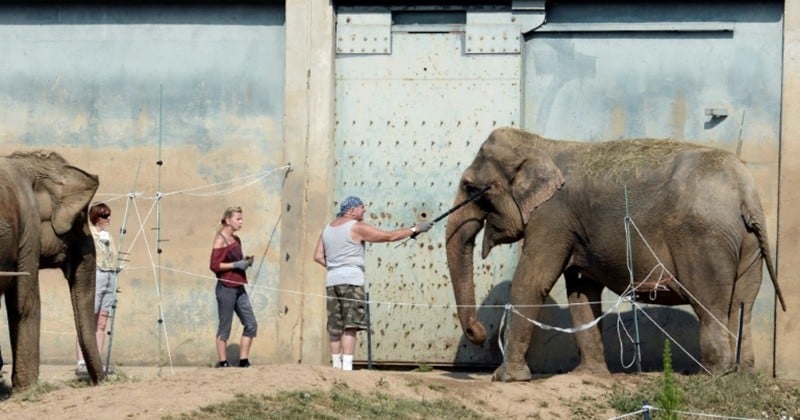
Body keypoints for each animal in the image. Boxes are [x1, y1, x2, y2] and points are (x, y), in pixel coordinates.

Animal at [444, 126, 788, 382]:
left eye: (471, 188)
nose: (479, 333)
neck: (542, 144)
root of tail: (746, 192)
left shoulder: (552, 218)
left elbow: (531, 282)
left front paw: (506, 378)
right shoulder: (573, 227)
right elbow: (581, 292)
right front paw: (588, 375)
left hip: (705, 239)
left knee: (710, 304)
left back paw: (710, 375)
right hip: (748, 243)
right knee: (742, 303)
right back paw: (740, 374)